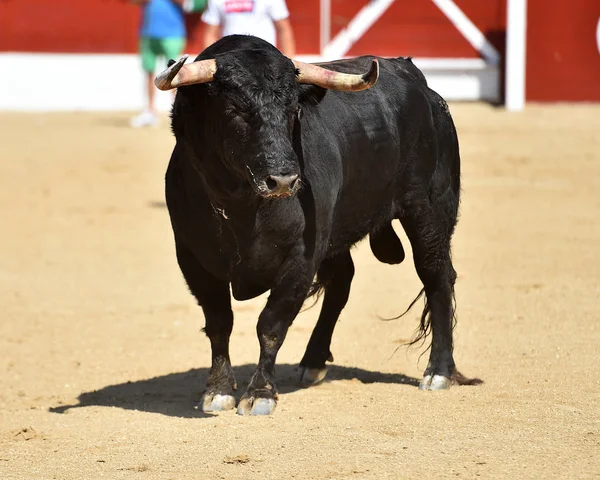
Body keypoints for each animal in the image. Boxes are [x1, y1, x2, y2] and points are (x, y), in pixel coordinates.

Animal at [159, 35, 474, 414]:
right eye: (234, 110)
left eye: (293, 110)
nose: (283, 179)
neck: (241, 204)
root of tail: (420, 83)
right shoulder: (194, 259)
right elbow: (219, 323)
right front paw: (218, 391)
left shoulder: (301, 258)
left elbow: (271, 325)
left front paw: (260, 393)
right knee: (341, 282)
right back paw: (313, 362)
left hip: (429, 210)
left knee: (436, 275)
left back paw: (438, 372)